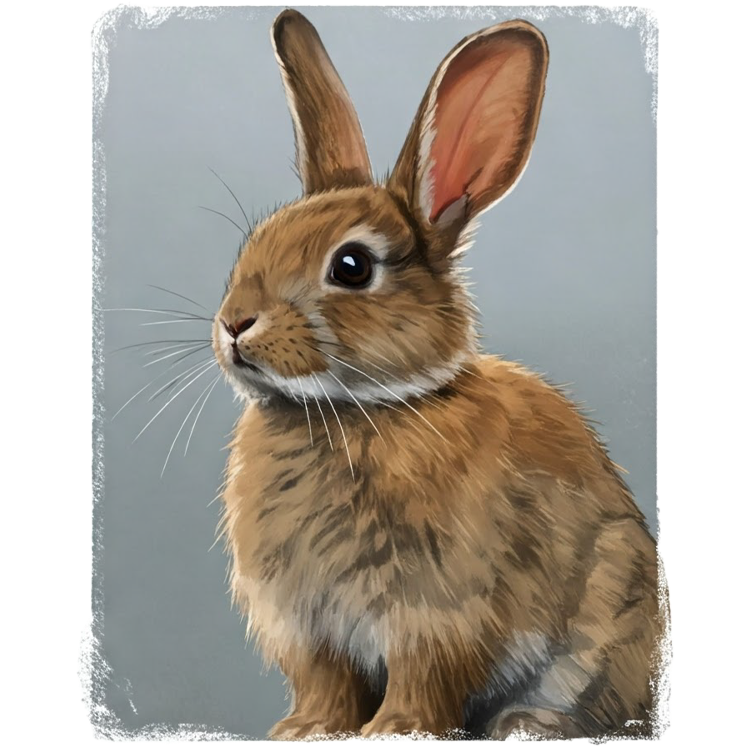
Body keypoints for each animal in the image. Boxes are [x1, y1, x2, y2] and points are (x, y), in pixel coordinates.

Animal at [212, 9, 662, 740]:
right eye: (256, 243)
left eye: (352, 267)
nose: (234, 325)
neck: (359, 408)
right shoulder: (307, 626)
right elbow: (325, 682)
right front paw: (307, 728)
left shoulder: (440, 614)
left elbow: (425, 678)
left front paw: (395, 727)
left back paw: (528, 720)